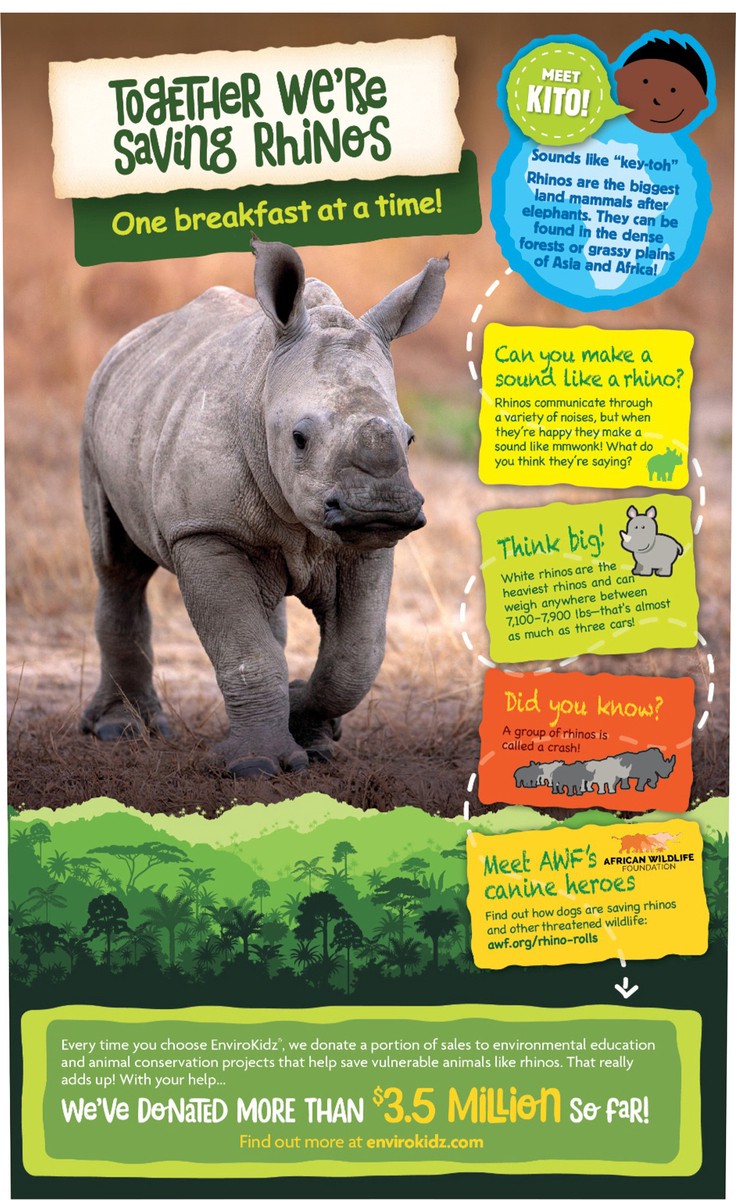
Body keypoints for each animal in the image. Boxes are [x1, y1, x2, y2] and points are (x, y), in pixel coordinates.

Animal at [80, 238, 448, 778]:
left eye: (410, 438)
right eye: (299, 438)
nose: (381, 508)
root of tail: (133, 337)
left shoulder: (366, 546)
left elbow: (354, 658)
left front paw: (309, 735)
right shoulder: (206, 530)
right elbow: (245, 652)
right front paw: (255, 765)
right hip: (95, 407)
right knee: (118, 565)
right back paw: (118, 731)